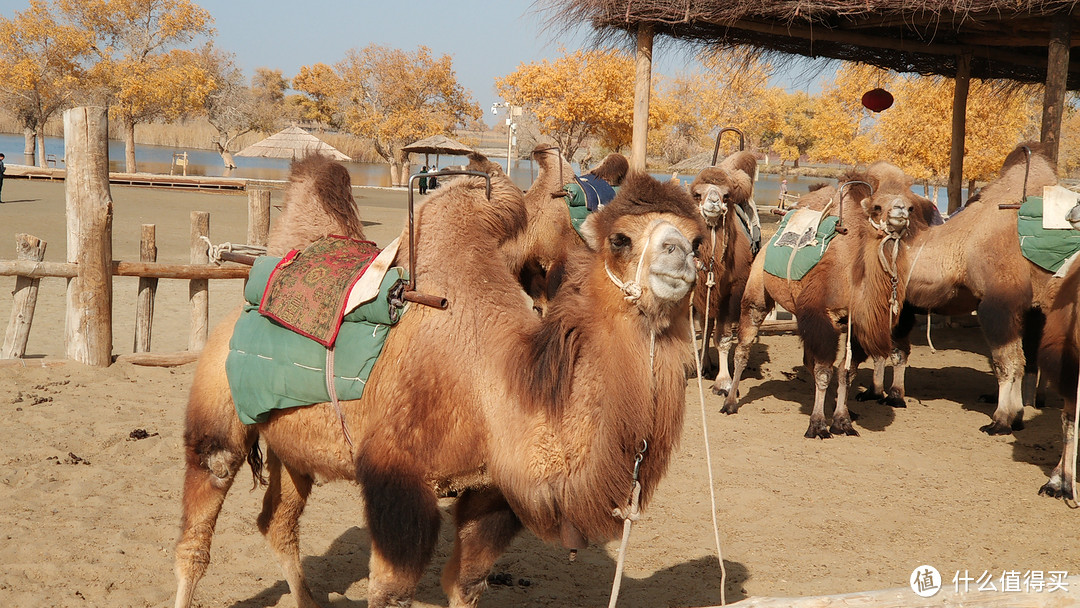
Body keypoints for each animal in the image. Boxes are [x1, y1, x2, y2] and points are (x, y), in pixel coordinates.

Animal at [171, 155, 704, 608]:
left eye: (699, 240)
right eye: (620, 239)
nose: (679, 257)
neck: (494, 382)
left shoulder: (492, 494)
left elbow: (467, 582)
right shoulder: (397, 475)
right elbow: (390, 592)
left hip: (292, 442)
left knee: (277, 521)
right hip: (217, 404)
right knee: (202, 514)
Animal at [691, 151, 760, 395]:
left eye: (726, 195)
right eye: (697, 194)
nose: (712, 202)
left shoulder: (732, 290)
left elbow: (723, 337)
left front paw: (724, 382)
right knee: (705, 324)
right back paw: (703, 364)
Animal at [721, 161, 933, 438]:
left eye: (910, 205)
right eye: (877, 206)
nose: (900, 212)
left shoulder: (855, 323)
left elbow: (847, 371)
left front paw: (842, 420)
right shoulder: (822, 315)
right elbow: (824, 371)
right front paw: (818, 424)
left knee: (809, 360)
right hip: (757, 291)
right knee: (744, 346)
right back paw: (730, 401)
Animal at [864, 144, 1058, 436]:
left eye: (909, 205)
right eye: (876, 206)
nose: (899, 212)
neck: (962, 245)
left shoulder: (999, 304)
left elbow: (1008, 364)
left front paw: (1002, 420)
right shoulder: (1030, 309)